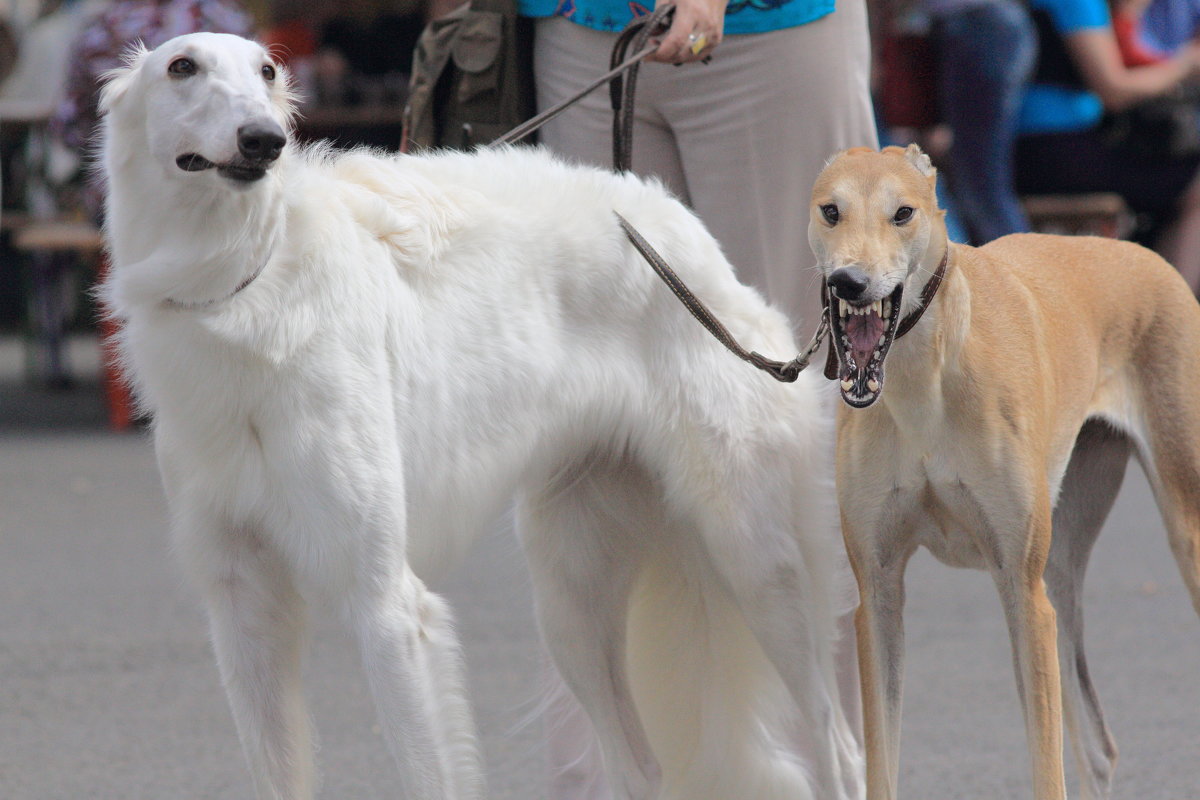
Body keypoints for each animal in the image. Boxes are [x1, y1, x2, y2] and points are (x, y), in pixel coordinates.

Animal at [98, 32, 859, 800]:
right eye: (182, 67)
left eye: (267, 71)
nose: (265, 140)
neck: (241, 287)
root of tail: (686, 234)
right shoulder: (242, 606)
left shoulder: (386, 604)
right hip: (571, 601)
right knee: (639, 767)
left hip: (756, 560)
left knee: (839, 744)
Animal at [811, 145, 1200, 800]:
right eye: (831, 211)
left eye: (903, 212)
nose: (850, 282)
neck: (927, 379)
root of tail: (1143, 252)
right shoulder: (879, 592)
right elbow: (882, 766)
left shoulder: (1019, 587)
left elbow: (1046, 769)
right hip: (1061, 570)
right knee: (1097, 748)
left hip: (1168, 535)